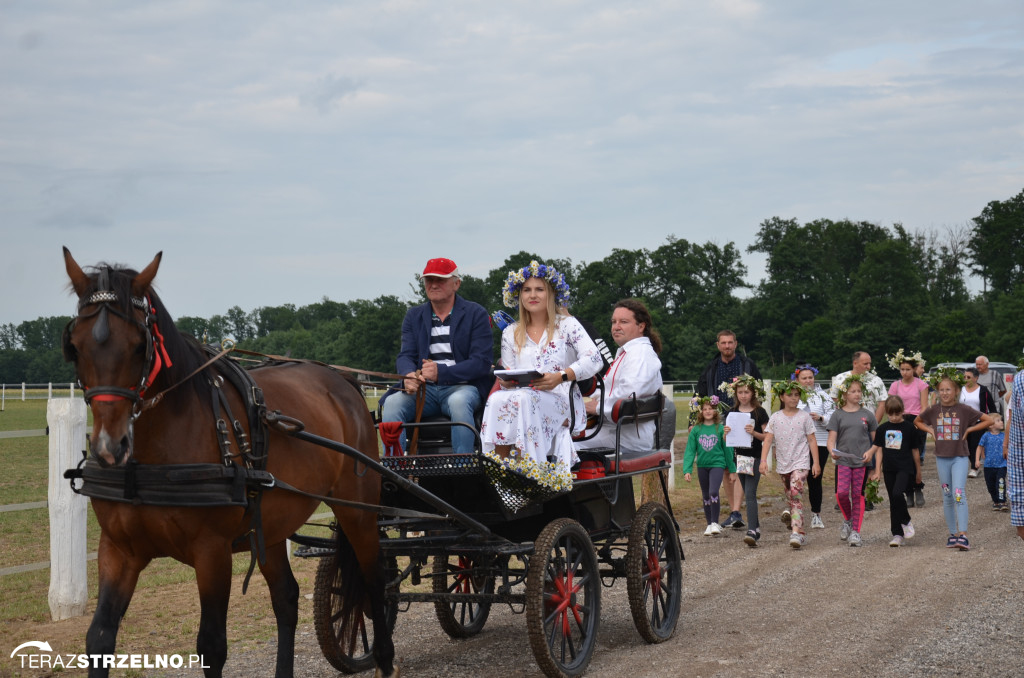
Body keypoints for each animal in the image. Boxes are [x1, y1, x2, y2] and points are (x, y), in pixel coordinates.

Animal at [59, 250, 395, 678]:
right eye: (75, 346)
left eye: (139, 345)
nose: (108, 447)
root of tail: (344, 382)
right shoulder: (118, 549)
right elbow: (99, 639)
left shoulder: (211, 552)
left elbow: (212, 646)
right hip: (270, 524)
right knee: (286, 598)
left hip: (358, 510)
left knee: (373, 581)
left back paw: (384, 657)